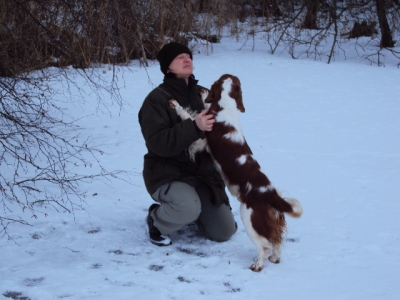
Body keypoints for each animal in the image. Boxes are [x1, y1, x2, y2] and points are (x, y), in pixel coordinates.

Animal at [169, 73, 304, 272]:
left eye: (211, 86)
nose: (200, 89)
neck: (227, 107)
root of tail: (272, 195)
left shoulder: (202, 139)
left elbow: (189, 118)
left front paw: (174, 104)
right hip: (271, 218)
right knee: (277, 240)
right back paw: (275, 259)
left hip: (249, 217)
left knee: (264, 245)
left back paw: (257, 265)